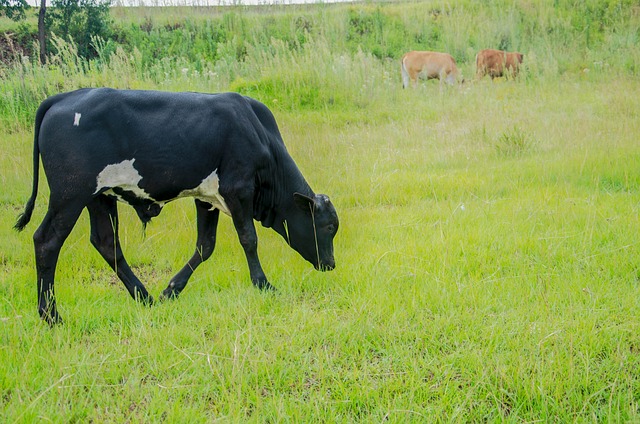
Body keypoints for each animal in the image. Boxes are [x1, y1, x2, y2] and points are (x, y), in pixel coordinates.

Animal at [13, 88, 340, 322]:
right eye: (327, 226)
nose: (330, 264)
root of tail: (63, 97)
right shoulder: (238, 191)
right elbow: (249, 239)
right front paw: (263, 284)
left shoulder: (206, 198)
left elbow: (205, 246)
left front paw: (171, 290)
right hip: (69, 196)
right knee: (46, 241)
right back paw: (50, 315)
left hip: (99, 197)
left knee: (106, 242)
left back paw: (143, 296)